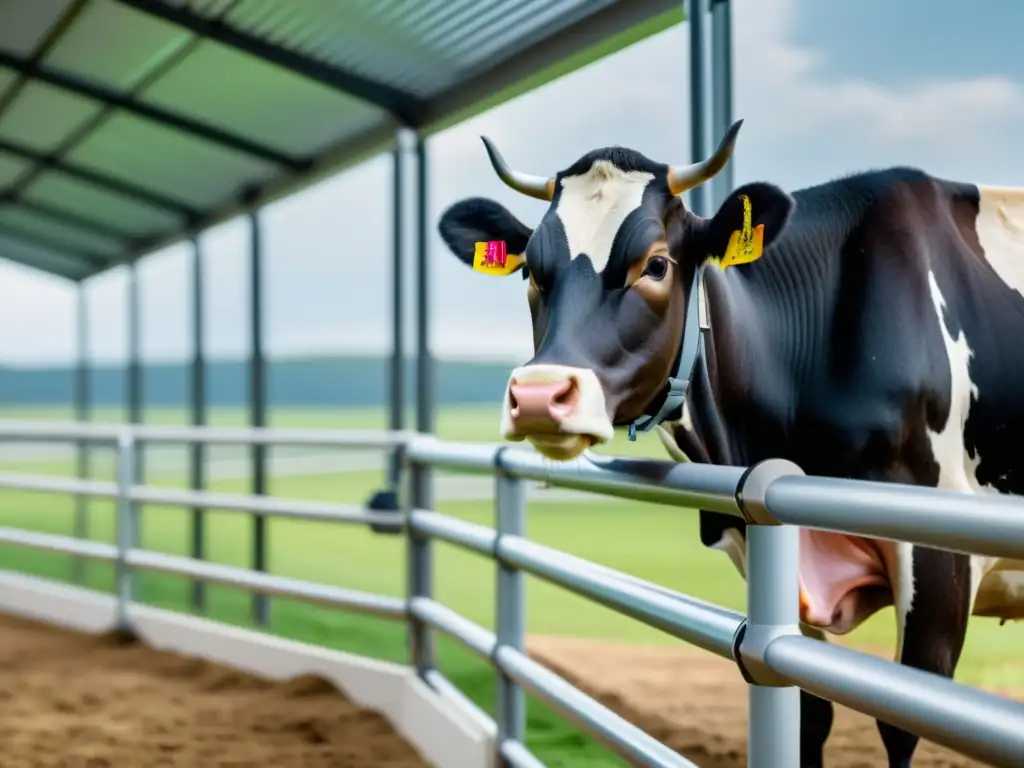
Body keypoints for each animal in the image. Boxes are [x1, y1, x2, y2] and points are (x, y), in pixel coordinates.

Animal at [436, 121, 1024, 768]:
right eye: (530, 272)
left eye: (657, 263)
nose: (541, 395)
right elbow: (809, 715)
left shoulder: (942, 559)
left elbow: (900, 728)